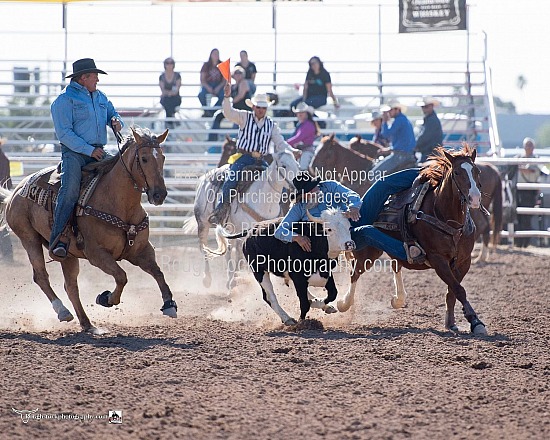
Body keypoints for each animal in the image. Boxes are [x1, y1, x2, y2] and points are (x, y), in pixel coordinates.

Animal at [1, 127, 178, 334]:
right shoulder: (96, 254)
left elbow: (158, 273)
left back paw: (88, 324)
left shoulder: (141, 251)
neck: (119, 203)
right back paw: (63, 311)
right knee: (41, 276)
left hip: (68, 255)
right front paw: (106, 298)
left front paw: (169, 305)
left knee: (71, 286)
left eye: (163, 157)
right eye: (144, 158)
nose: (159, 194)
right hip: (29, 238)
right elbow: (122, 276)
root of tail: (15, 192)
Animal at [192, 150, 300, 290]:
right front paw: (236, 280)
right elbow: (241, 255)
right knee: (204, 247)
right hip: (203, 222)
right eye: (284, 166)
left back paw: (230, 278)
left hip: (230, 229)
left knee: (228, 250)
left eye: (297, 165)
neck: (264, 201)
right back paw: (208, 279)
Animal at [338, 146, 490, 336]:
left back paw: (399, 298)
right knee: (355, 272)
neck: (448, 219)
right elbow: (459, 290)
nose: (475, 198)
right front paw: (475, 321)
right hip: (369, 251)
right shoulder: (438, 260)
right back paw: (344, 303)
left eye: (477, 171)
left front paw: (452, 322)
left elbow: (452, 292)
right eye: (456, 172)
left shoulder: (464, 261)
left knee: (395, 264)